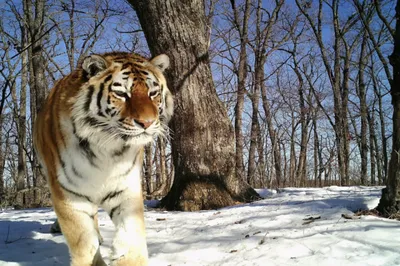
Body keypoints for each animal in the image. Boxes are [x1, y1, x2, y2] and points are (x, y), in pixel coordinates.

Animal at [33, 51, 173, 264]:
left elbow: (131, 234)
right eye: (122, 94)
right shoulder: (68, 193)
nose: (147, 123)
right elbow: (84, 244)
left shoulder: (125, 187)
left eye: (153, 93)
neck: (107, 150)